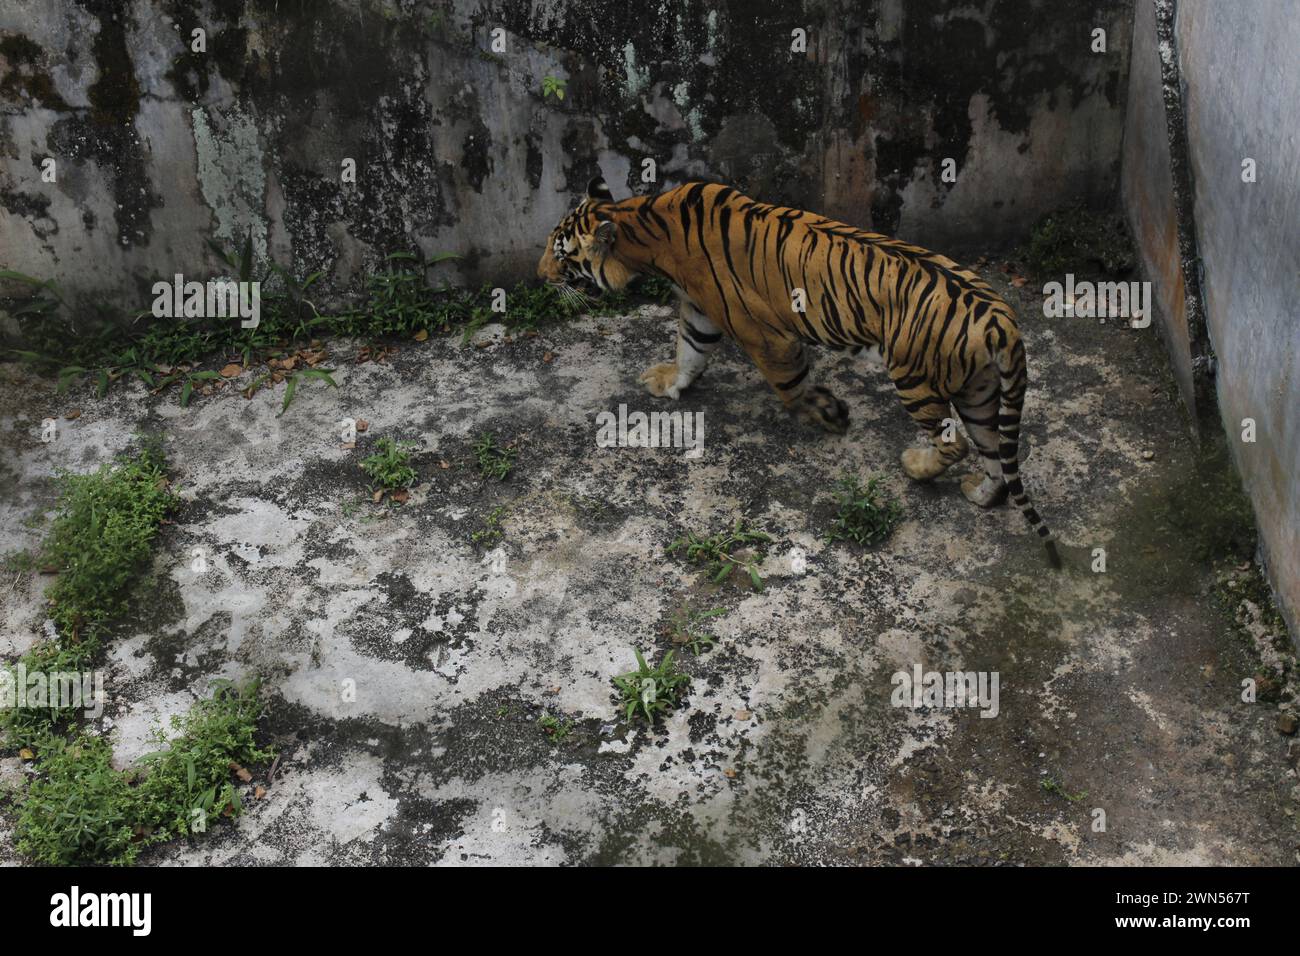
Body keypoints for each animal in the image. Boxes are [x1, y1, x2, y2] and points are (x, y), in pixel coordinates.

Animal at [535, 175, 1055, 564]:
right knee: (994, 453)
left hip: (916, 380)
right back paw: (981, 495)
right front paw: (668, 383)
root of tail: (1002, 319)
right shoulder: (700, 311)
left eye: (562, 255)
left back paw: (916, 466)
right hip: (979, 393)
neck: (640, 222)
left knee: (955, 443)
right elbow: (689, 351)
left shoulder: (764, 334)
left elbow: (788, 387)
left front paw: (828, 413)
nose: (540, 276)